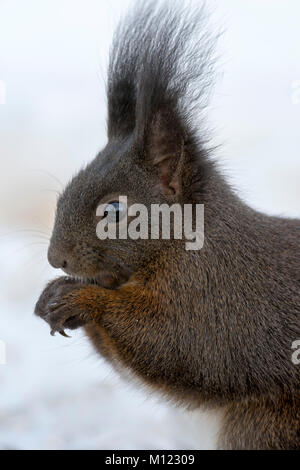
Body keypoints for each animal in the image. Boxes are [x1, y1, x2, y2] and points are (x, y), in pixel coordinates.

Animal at [34, 0, 298, 450]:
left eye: (115, 211)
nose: (56, 259)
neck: (185, 246)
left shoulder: (218, 303)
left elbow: (175, 346)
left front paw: (84, 300)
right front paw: (53, 295)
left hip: (264, 426)